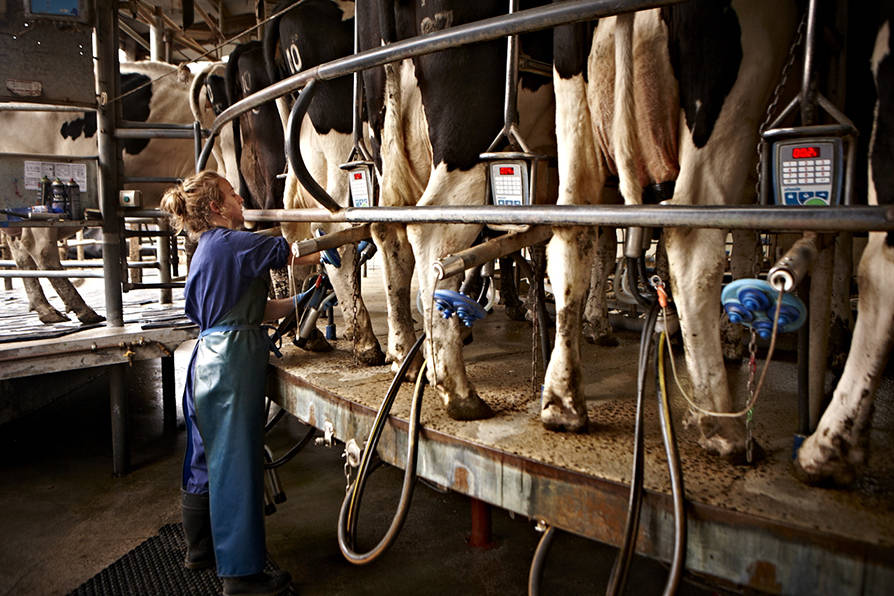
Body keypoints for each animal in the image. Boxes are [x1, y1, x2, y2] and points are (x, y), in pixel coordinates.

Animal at [544, 1, 800, 456]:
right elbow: (747, 241)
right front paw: (733, 336)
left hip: (574, 111)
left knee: (572, 233)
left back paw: (563, 402)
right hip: (727, 93)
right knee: (693, 244)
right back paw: (722, 425)